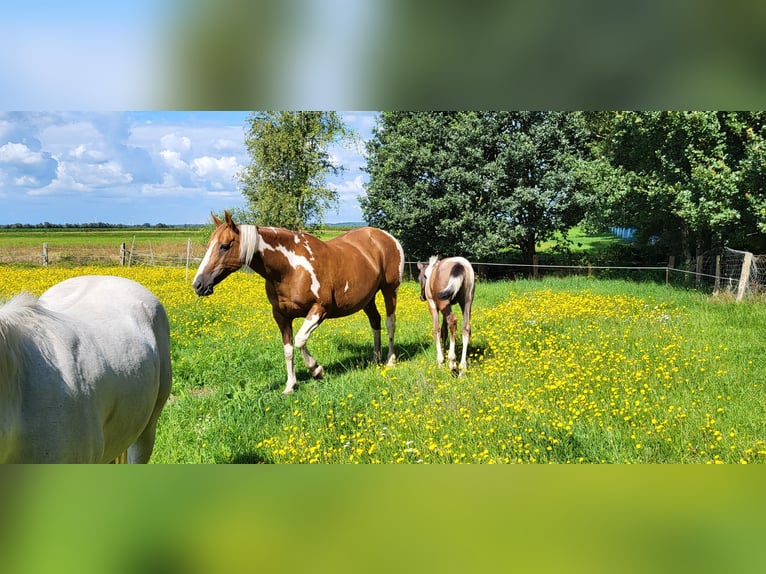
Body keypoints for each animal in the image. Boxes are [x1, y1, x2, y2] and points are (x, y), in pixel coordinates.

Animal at [195, 212, 404, 396]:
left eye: (224, 246)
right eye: (209, 245)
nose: (198, 285)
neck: (290, 267)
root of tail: (387, 237)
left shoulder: (320, 309)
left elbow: (300, 339)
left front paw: (317, 370)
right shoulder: (281, 316)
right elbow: (288, 349)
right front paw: (290, 386)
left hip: (389, 290)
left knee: (390, 323)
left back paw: (390, 360)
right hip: (367, 299)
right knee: (375, 321)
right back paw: (375, 359)